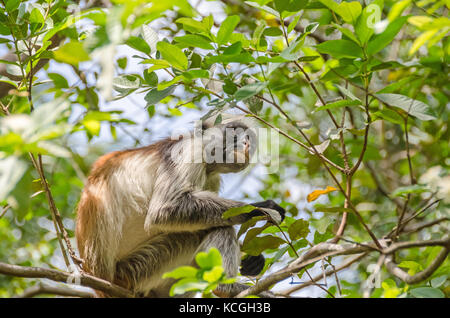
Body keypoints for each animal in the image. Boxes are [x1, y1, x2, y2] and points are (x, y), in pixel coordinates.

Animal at [75, 115, 284, 298]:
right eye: (234, 132)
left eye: (248, 137)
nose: (246, 142)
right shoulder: (189, 150)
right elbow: (165, 210)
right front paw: (261, 208)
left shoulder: (211, 177)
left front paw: (251, 259)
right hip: (136, 270)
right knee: (217, 228)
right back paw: (224, 287)